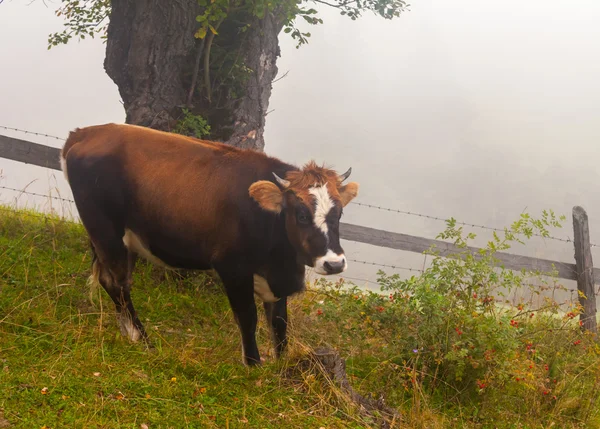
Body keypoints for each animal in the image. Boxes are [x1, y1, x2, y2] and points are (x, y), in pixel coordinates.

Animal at [61, 123, 358, 364]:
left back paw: (127, 333)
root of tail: (86, 132)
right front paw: (253, 365)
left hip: (122, 241)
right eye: (301, 214)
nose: (334, 264)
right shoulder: (232, 267)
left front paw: (282, 365)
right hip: (105, 231)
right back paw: (142, 339)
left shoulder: (274, 278)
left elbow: (279, 322)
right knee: (118, 283)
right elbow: (248, 317)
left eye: (339, 213)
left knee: (112, 282)